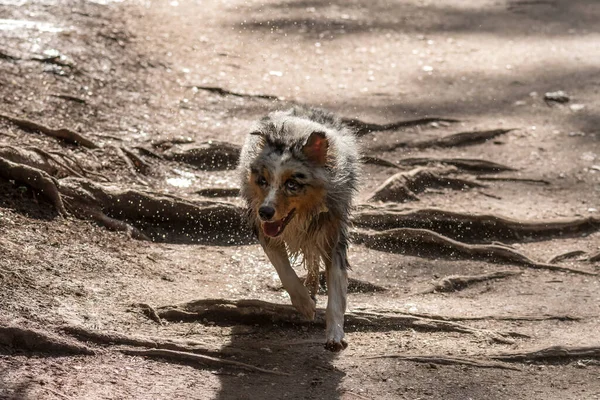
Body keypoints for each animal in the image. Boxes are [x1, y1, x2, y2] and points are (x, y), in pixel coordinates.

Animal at [238, 105, 360, 350]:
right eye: (262, 181)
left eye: (292, 184)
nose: (265, 212)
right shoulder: (263, 230)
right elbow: (285, 270)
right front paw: (304, 304)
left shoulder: (333, 234)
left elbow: (336, 288)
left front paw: (335, 335)